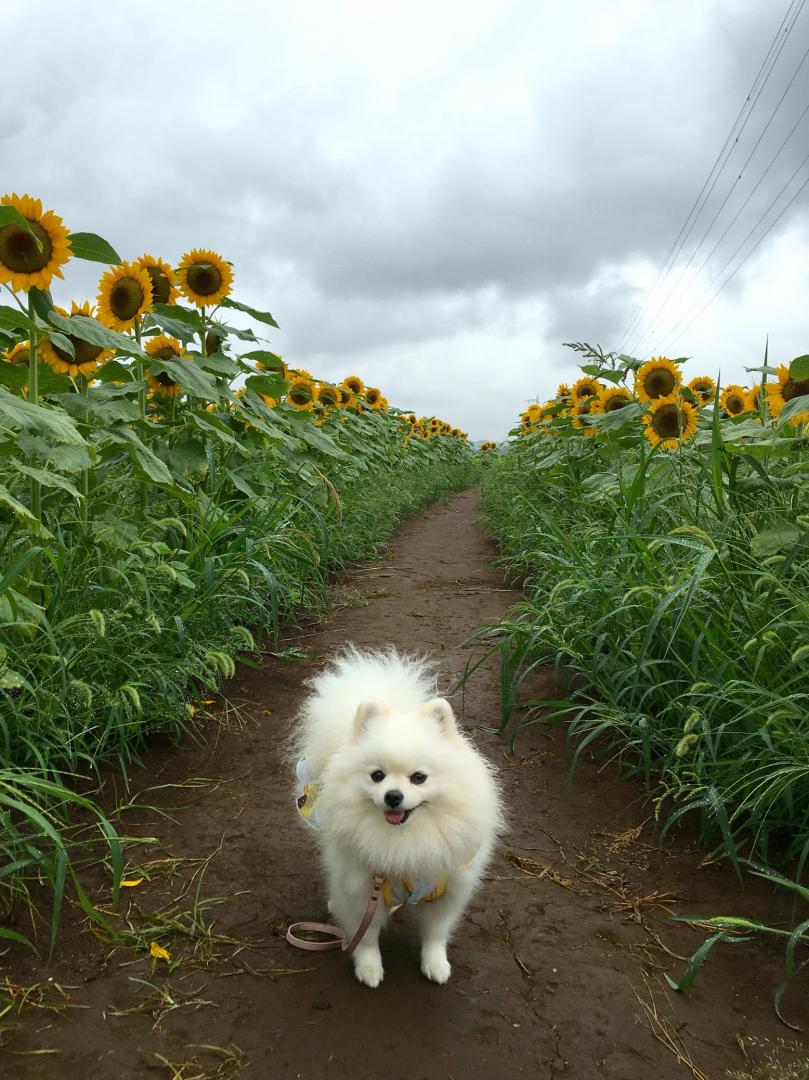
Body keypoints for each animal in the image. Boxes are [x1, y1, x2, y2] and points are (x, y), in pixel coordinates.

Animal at [293, 648, 501, 989]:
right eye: (377, 776)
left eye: (419, 778)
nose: (393, 796)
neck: (406, 840)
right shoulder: (362, 889)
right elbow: (364, 936)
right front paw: (369, 968)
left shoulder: (447, 892)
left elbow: (435, 933)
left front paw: (435, 964)